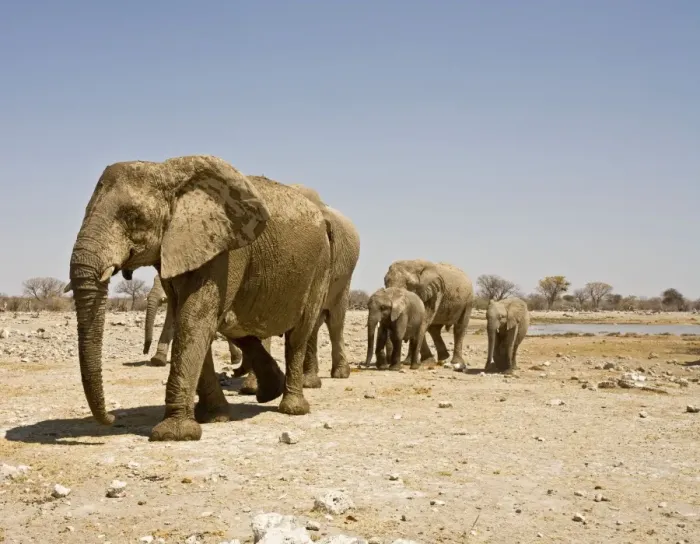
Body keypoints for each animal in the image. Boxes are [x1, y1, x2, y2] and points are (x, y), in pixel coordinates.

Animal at [64, 155, 332, 442]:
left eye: (133, 217)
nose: (112, 419)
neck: (168, 174)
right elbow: (191, 318)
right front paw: (214, 418)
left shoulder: (224, 251)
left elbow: (193, 318)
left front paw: (173, 434)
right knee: (236, 326)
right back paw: (269, 392)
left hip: (319, 267)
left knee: (298, 334)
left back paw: (292, 408)